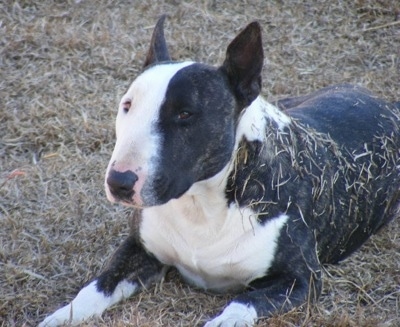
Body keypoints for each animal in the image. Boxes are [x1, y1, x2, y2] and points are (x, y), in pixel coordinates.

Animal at [39, 16, 400, 326]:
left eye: (185, 114)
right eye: (127, 106)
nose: (119, 182)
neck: (201, 205)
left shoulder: (302, 279)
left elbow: (243, 303)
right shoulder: (138, 250)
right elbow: (97, 286)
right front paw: (61, 316)